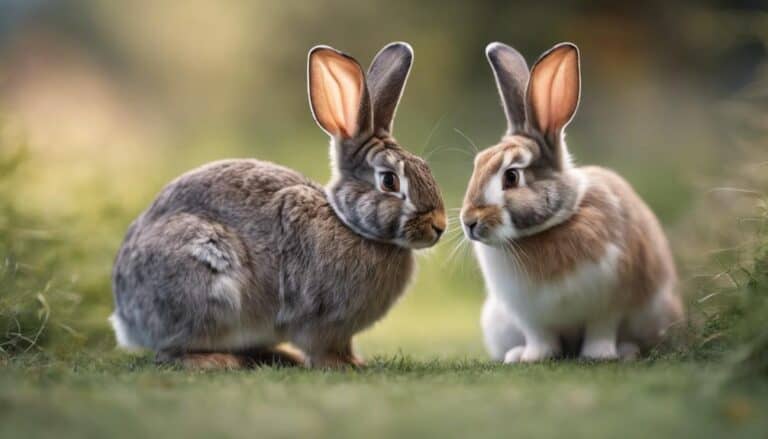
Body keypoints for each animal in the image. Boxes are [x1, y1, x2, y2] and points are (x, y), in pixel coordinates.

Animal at [109, 42, 446, 369]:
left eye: (424, 168)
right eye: (389, 181)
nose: (439, 226)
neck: (350, 223)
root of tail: (125, 313)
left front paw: (354, 361)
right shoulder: (319, 321)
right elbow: (324, 348)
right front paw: (345, 365)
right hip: (202, 278)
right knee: (168, 352)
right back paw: (216, 360)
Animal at [460, 42, 684, 363]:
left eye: (511, 177)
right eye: (478, 163)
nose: (469, 222)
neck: (547, 230)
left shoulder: (609, 304)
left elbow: (602, 330)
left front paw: (599, 355)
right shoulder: (531, 317)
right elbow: (540, 338)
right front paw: (532, 357)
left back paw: (626, 351)